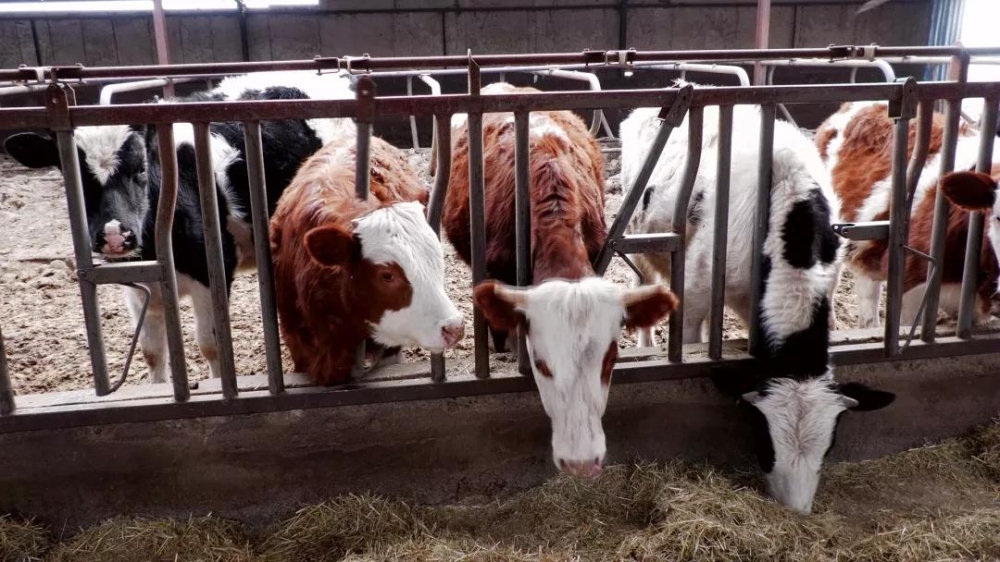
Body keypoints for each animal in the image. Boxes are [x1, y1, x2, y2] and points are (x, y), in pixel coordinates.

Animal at [1, 70, 356, 382]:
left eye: (141, 169)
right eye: (73, 179)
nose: (115, 237)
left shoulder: (210, 272)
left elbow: (211, 345)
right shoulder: (138, 286)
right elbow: (152, 351)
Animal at [620, 99, 896, 512]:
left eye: (829, 447)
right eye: (765, 440)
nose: (796, 511)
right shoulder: (696, 292)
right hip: (642, 246)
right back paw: (646, 344)